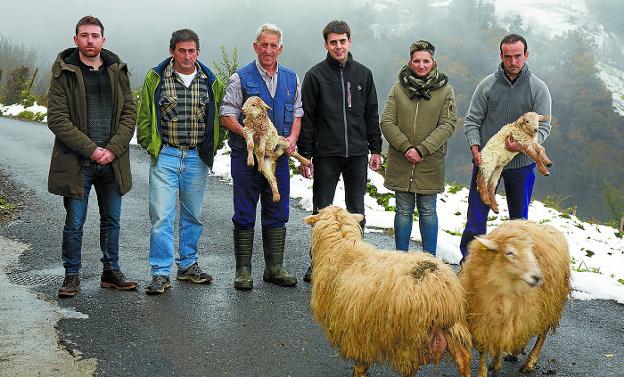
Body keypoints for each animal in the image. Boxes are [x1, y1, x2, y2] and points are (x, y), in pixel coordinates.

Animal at [304, 206, 470, 376]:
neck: (344, 248)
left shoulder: (357, 332)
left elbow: (360, 364)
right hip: (453, 327)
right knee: (463, 359)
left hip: (408, 342)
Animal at [458, 219, 572, 374]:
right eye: (509, 252)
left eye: (531, 252)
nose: (537, 277)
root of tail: (550, 228)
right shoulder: (481, 316)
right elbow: (484, 348)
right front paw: (486, 368)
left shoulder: (509, 315)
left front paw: (495, 366)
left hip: (550, 304)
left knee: (542, 333)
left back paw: (530, 362)